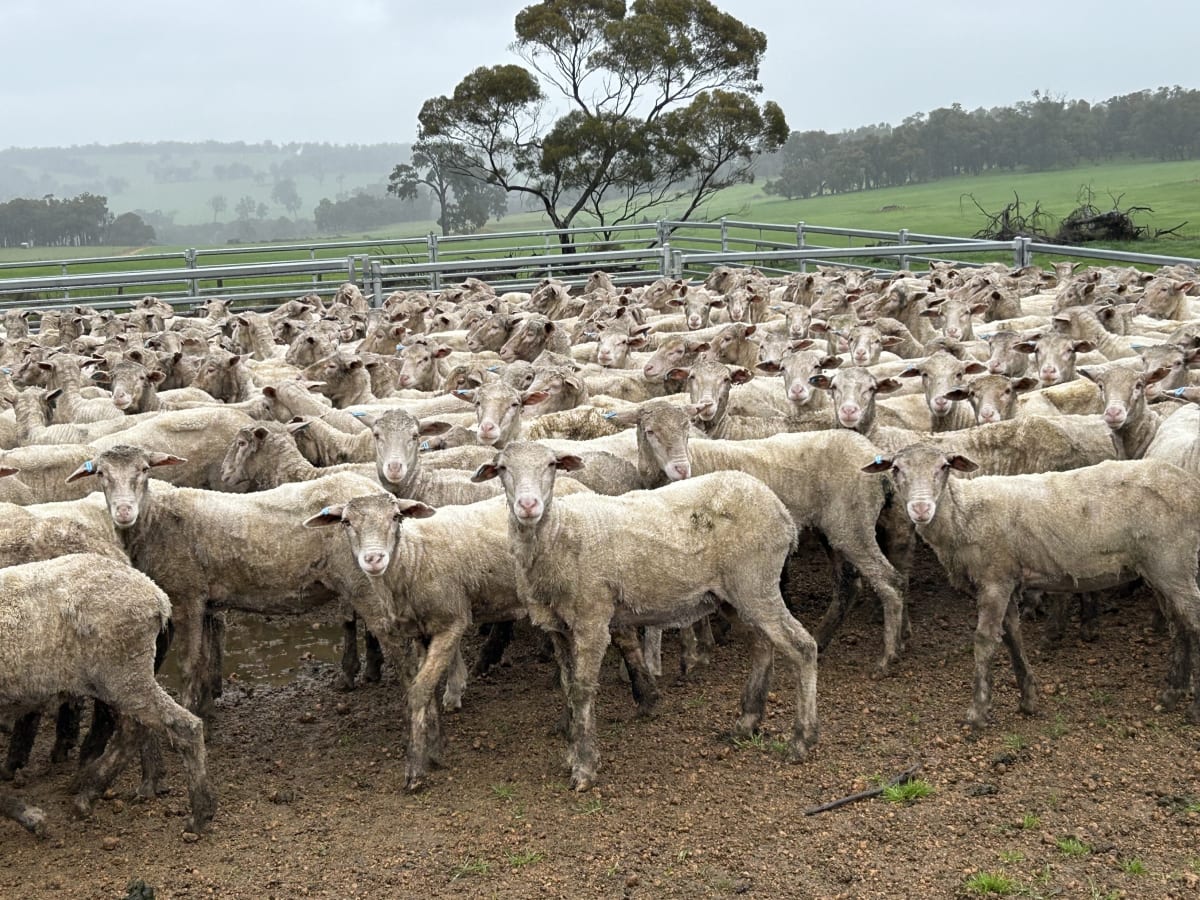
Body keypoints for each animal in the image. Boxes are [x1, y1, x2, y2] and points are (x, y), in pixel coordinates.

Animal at [0, 553, 215, 835]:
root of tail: (157, 596)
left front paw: (31, 817)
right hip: (113, 679)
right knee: (132, 731)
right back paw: (89, 792)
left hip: (123, 673)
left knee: (182, 727)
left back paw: (199, 814)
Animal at [471, 441, 818, 791]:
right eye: (502, 468)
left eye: (552, 465)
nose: (528, 505)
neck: (560, 533)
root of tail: (780, 510)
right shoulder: (557, 627)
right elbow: (568, 687)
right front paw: (571, 753)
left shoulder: (591, 619)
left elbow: (582, 690)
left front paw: (584, 767)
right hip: (733, 596)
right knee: (762, 646)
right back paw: (746, 723)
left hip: (756, 581)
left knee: (802, 647)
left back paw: (801, 741)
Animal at [862, 445, 1200, 731]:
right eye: (896, 469)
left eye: (944, 466)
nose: (920, 509)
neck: (963, 514)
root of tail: (1190, 485)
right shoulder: (1009, 580)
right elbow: (1013, 636)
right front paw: (1027, 700)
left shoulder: (995, 578)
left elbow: (985, 640)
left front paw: (977, 713)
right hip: (1163, 570)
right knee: (1181, 626)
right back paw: (1171, 694)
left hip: (1172, 562)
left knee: (1193, 623)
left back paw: (1191, 708)